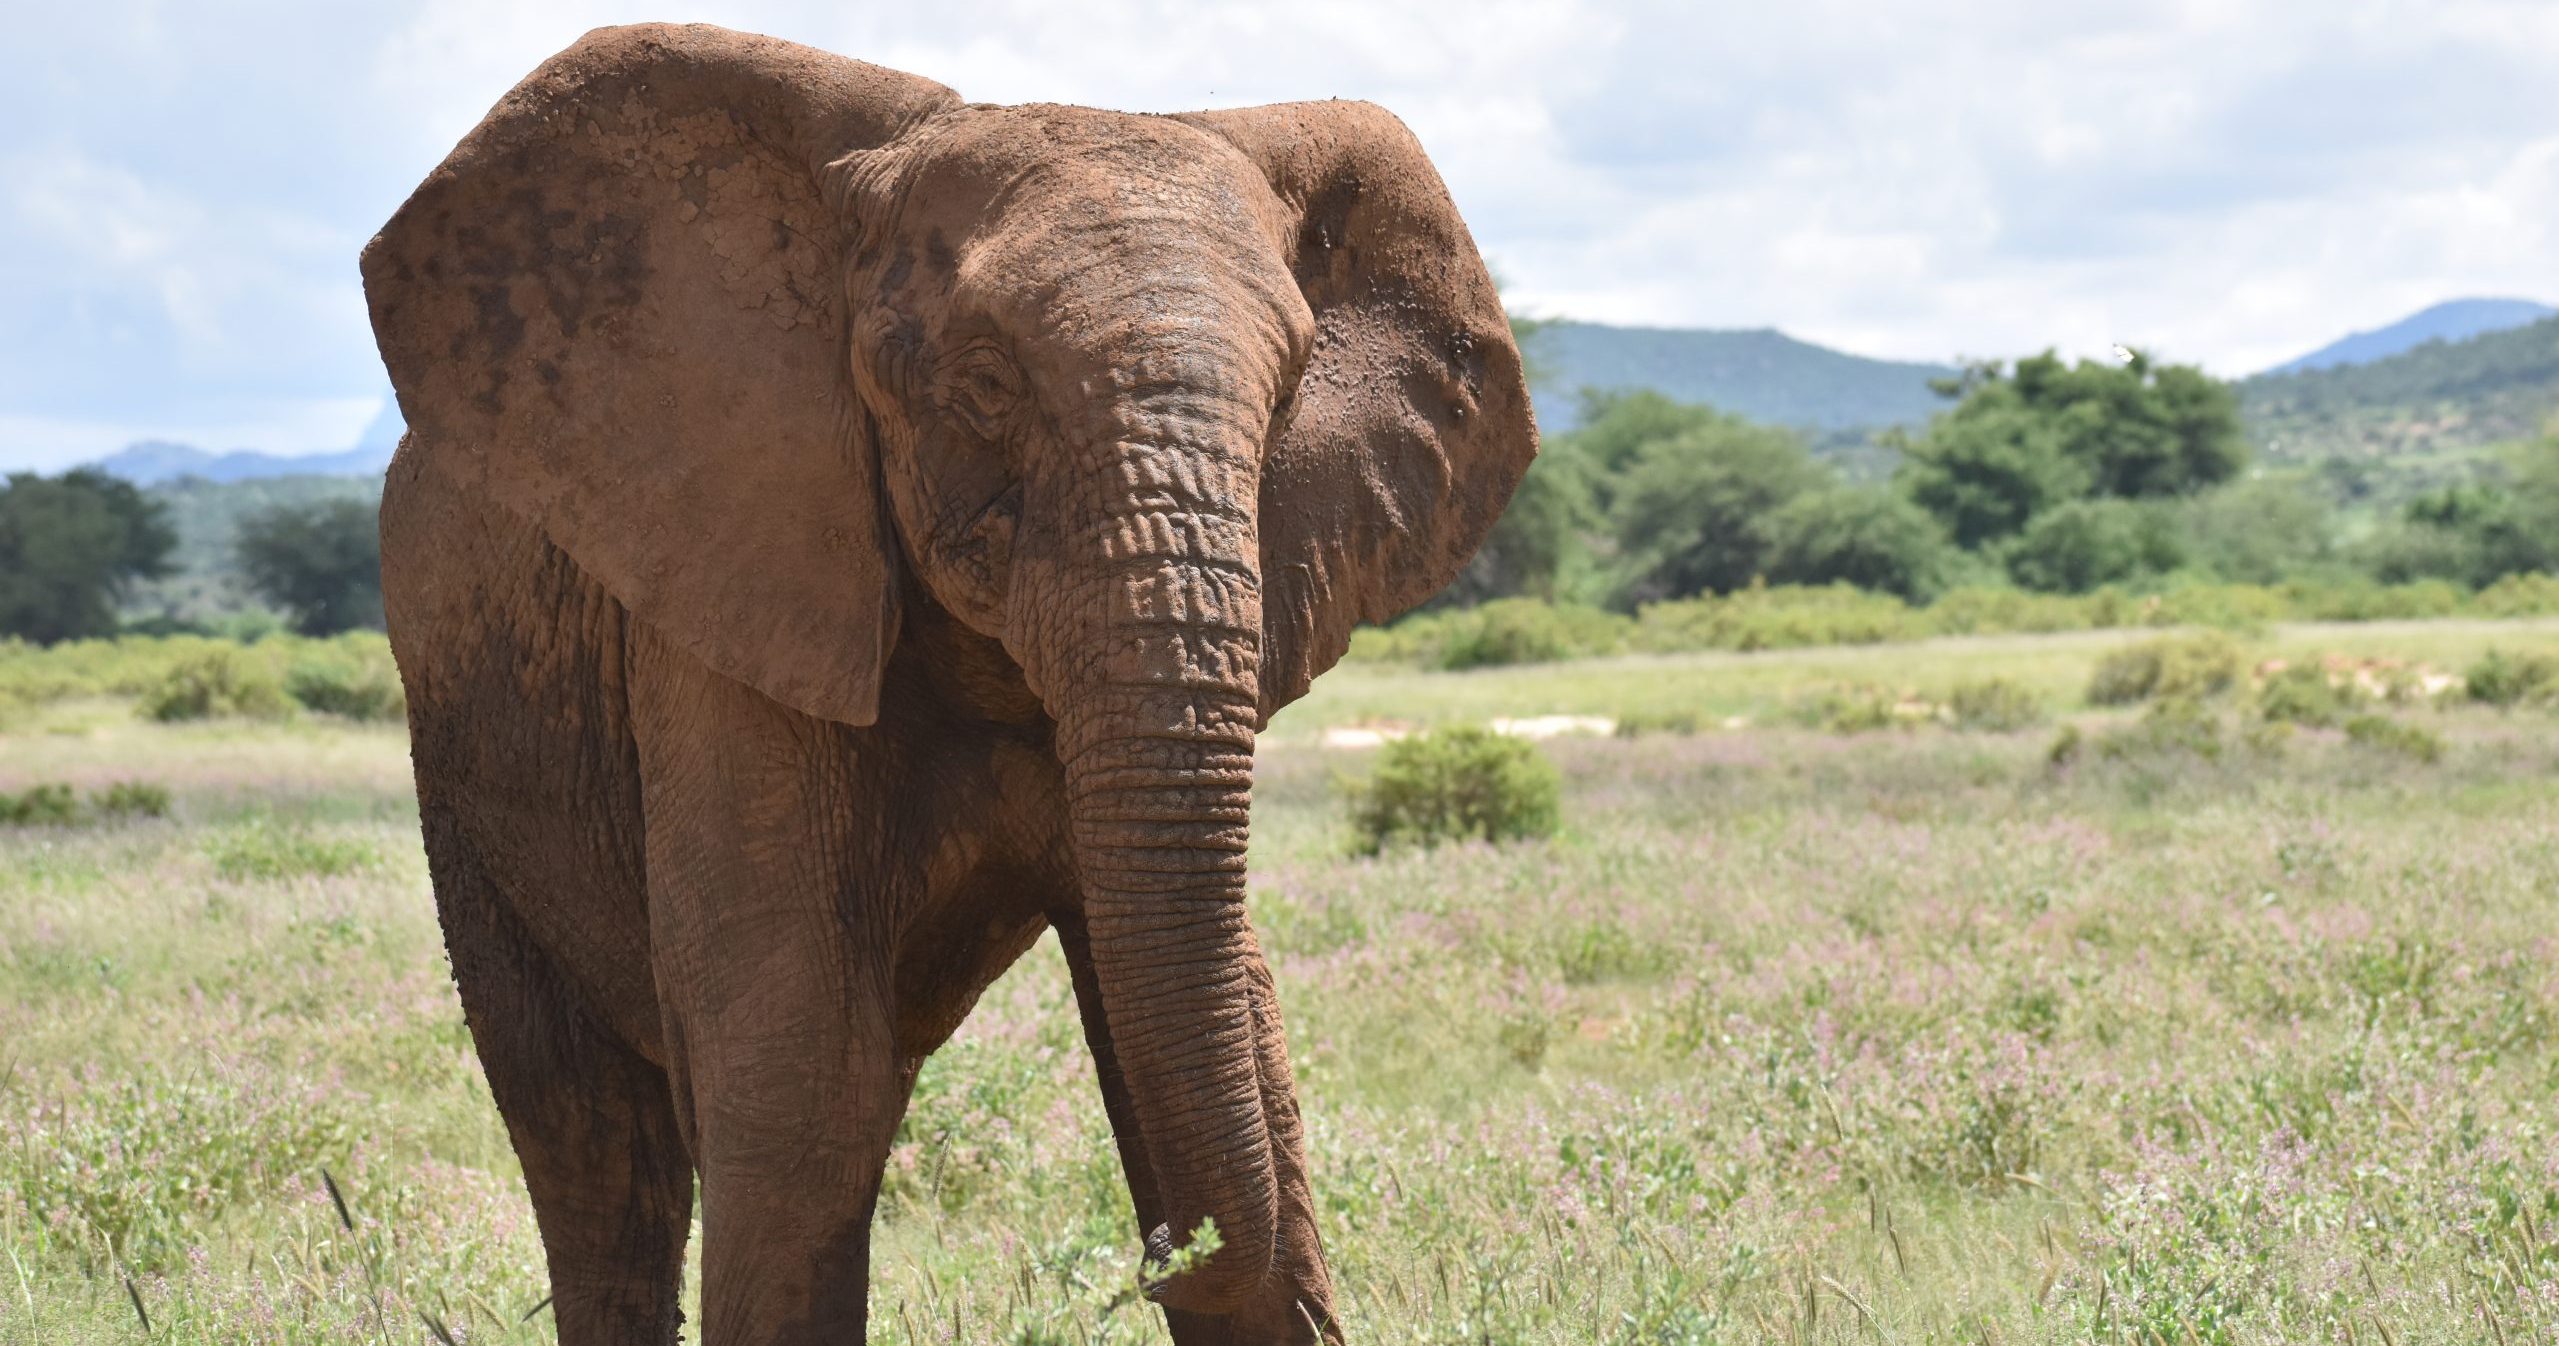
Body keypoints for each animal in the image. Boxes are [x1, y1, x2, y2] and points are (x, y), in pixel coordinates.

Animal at [358, 23, 1514, 1346]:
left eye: (1285, 404)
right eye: (984, 388)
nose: (1143, 1261)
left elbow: (1215, 1040)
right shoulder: (733, 603)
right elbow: (801, 1076)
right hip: (462, 755)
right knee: (598, 1148)